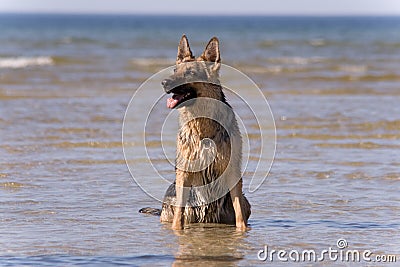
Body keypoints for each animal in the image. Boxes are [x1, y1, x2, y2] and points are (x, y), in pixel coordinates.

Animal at [142, 35, 252, 231]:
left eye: (190, 73)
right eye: (175, 70)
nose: (164, 83)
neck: (203, 127)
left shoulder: (232, 171)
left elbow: (239, 210)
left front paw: (242, 232)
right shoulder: (184, 172)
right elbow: (179, 214)